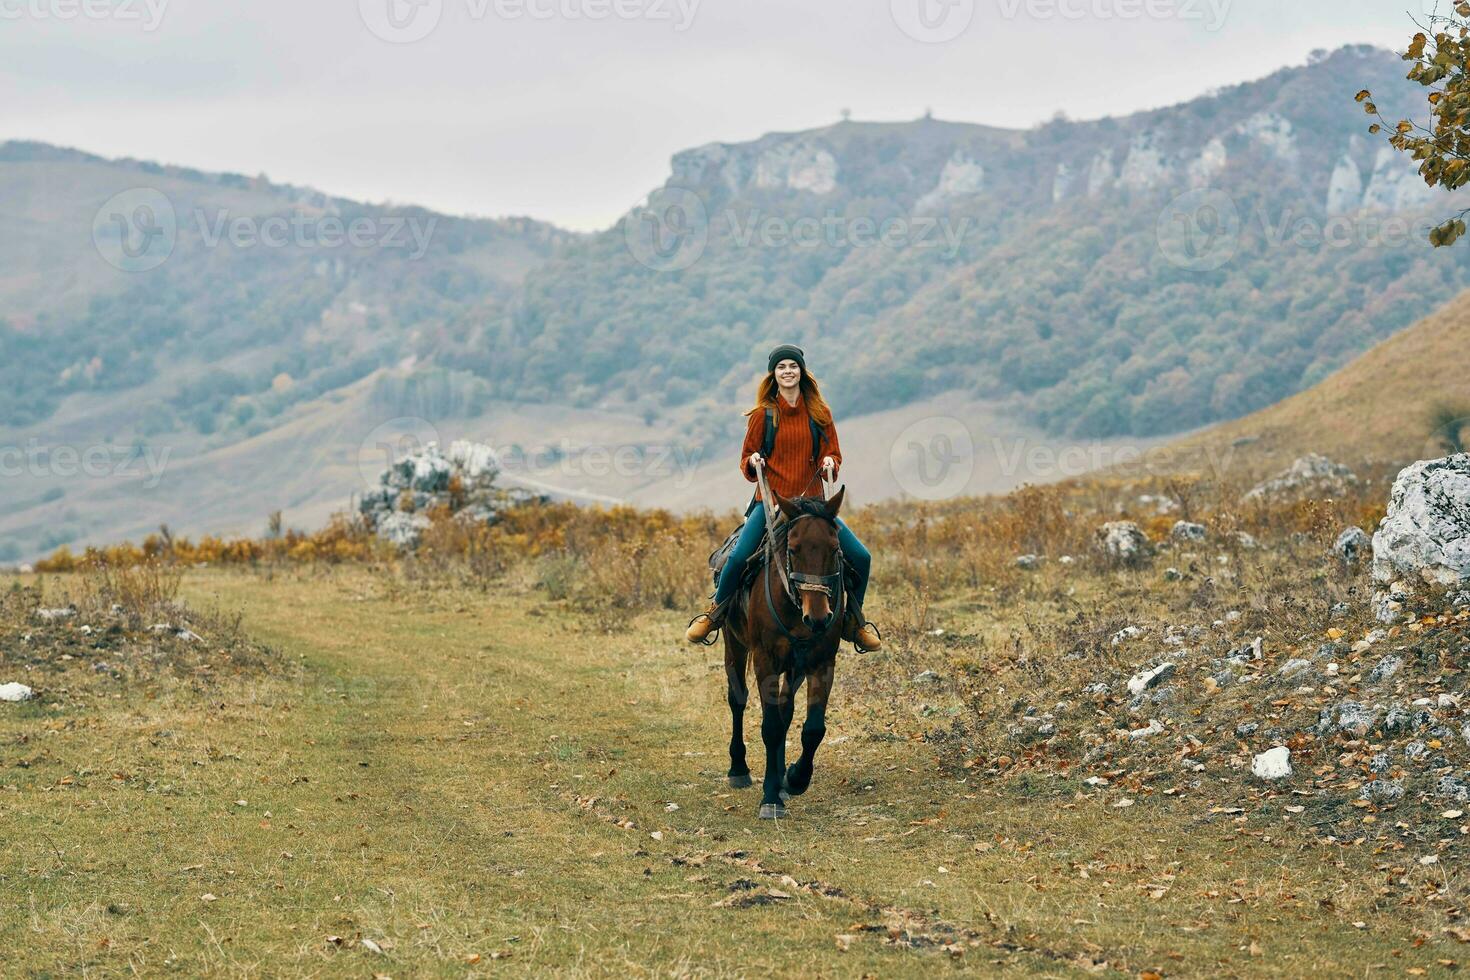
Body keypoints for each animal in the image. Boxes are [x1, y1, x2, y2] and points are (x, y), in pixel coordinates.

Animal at [717, 487, 846, 822]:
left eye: (835, 548)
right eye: (794, 548)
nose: (818, 618)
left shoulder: (821, 662)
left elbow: (811, 728)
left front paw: (794, 779)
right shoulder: (766, 661)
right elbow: (771, 727)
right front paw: (770, 798)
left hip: (794, 666)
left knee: (785, 711)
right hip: (734, 644)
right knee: (738, 700)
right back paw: (739, 769)